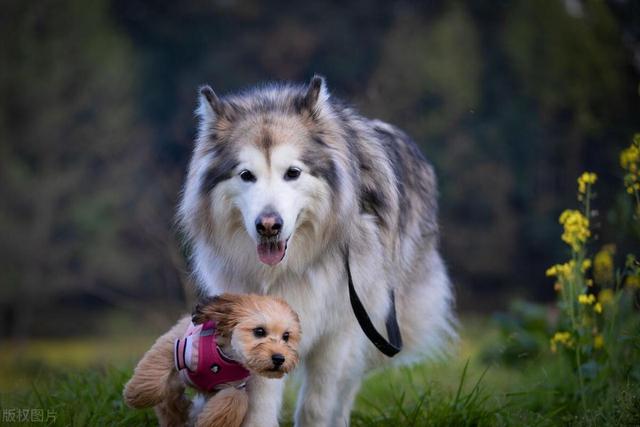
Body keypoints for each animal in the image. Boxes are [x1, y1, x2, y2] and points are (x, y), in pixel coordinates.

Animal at [123, 294, 302, 427]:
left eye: (286, 336)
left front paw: (209, 422)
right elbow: (154, 368)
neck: (226, 355)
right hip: (175, 379)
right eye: (259, 331)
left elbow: (232, 401)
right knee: (169, 400)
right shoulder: (177, 346)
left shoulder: (234, 386)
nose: (279, 358)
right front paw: (139, 395)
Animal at [178, 75, 452, 426]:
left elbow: (316, 404)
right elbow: (260, 402)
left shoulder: (338, 332)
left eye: (292, 173)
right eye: (246, 175)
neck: (287, 267)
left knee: (348, 384)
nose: (269, 225)